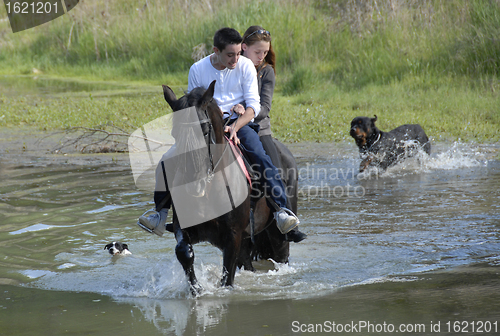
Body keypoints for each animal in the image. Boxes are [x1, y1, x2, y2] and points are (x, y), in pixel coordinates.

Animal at [163, 80, 296, 292]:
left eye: (204, 130)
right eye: (175, 134)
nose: (193, 185)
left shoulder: (233, 236)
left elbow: (227, 279)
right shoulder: (184, 227)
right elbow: (184, 252)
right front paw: (197, 289)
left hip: (276, 236)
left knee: (281, 256)